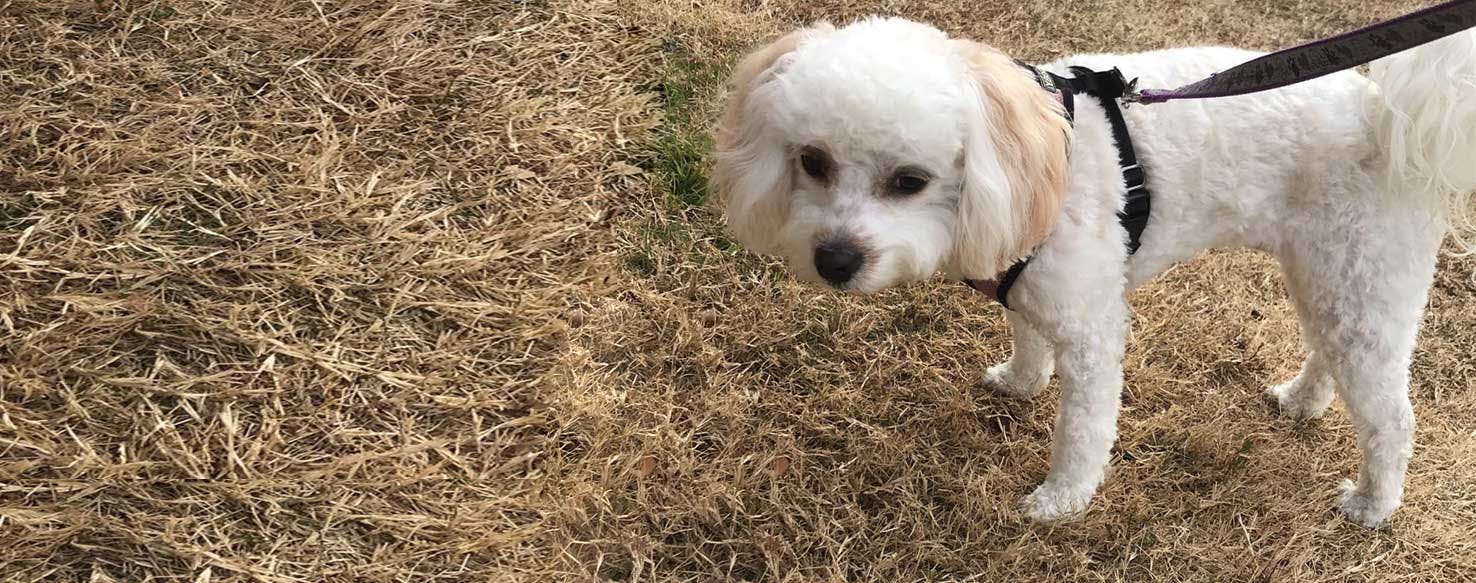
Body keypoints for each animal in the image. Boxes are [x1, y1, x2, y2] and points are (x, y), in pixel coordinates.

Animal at [708, 18, 1470, 528]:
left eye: (909, 180)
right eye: (811, 161)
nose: (834, 261)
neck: (1027, 154)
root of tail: (1382, 115)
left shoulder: (1092, 330)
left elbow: (1082, 430)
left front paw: (1060, 501)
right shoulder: (1021, 274)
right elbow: (1024, 335)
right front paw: (1020, 382)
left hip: (1364, 279)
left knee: (1391, 417)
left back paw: (1372, 503)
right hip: (1331, 273)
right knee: (1328, 349)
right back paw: (1303, 400)